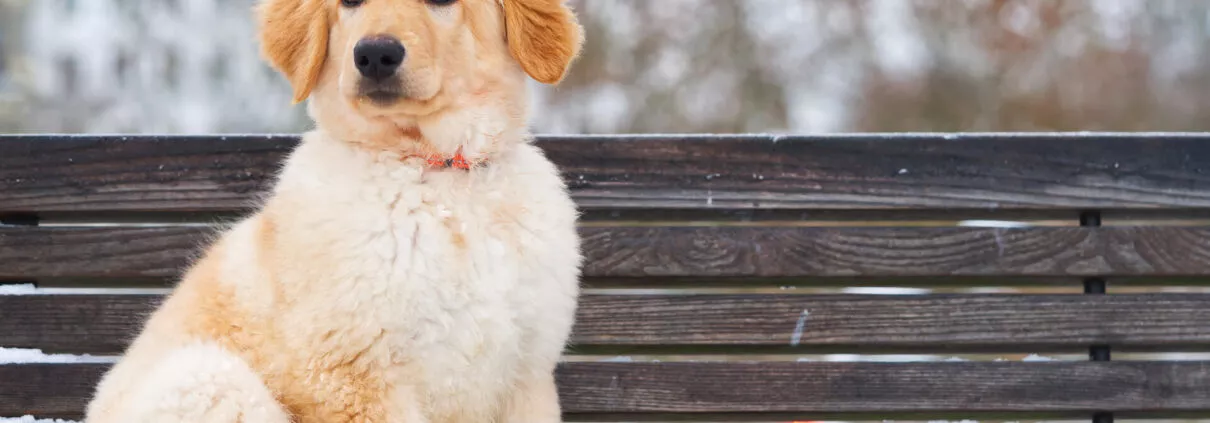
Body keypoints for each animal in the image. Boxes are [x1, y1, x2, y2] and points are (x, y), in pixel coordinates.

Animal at [82, 0, 583, 420]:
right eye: (349, 3)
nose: (375, 55)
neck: (441, 177)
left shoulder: (527, 374)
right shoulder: (353, 375)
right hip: (205, 379)